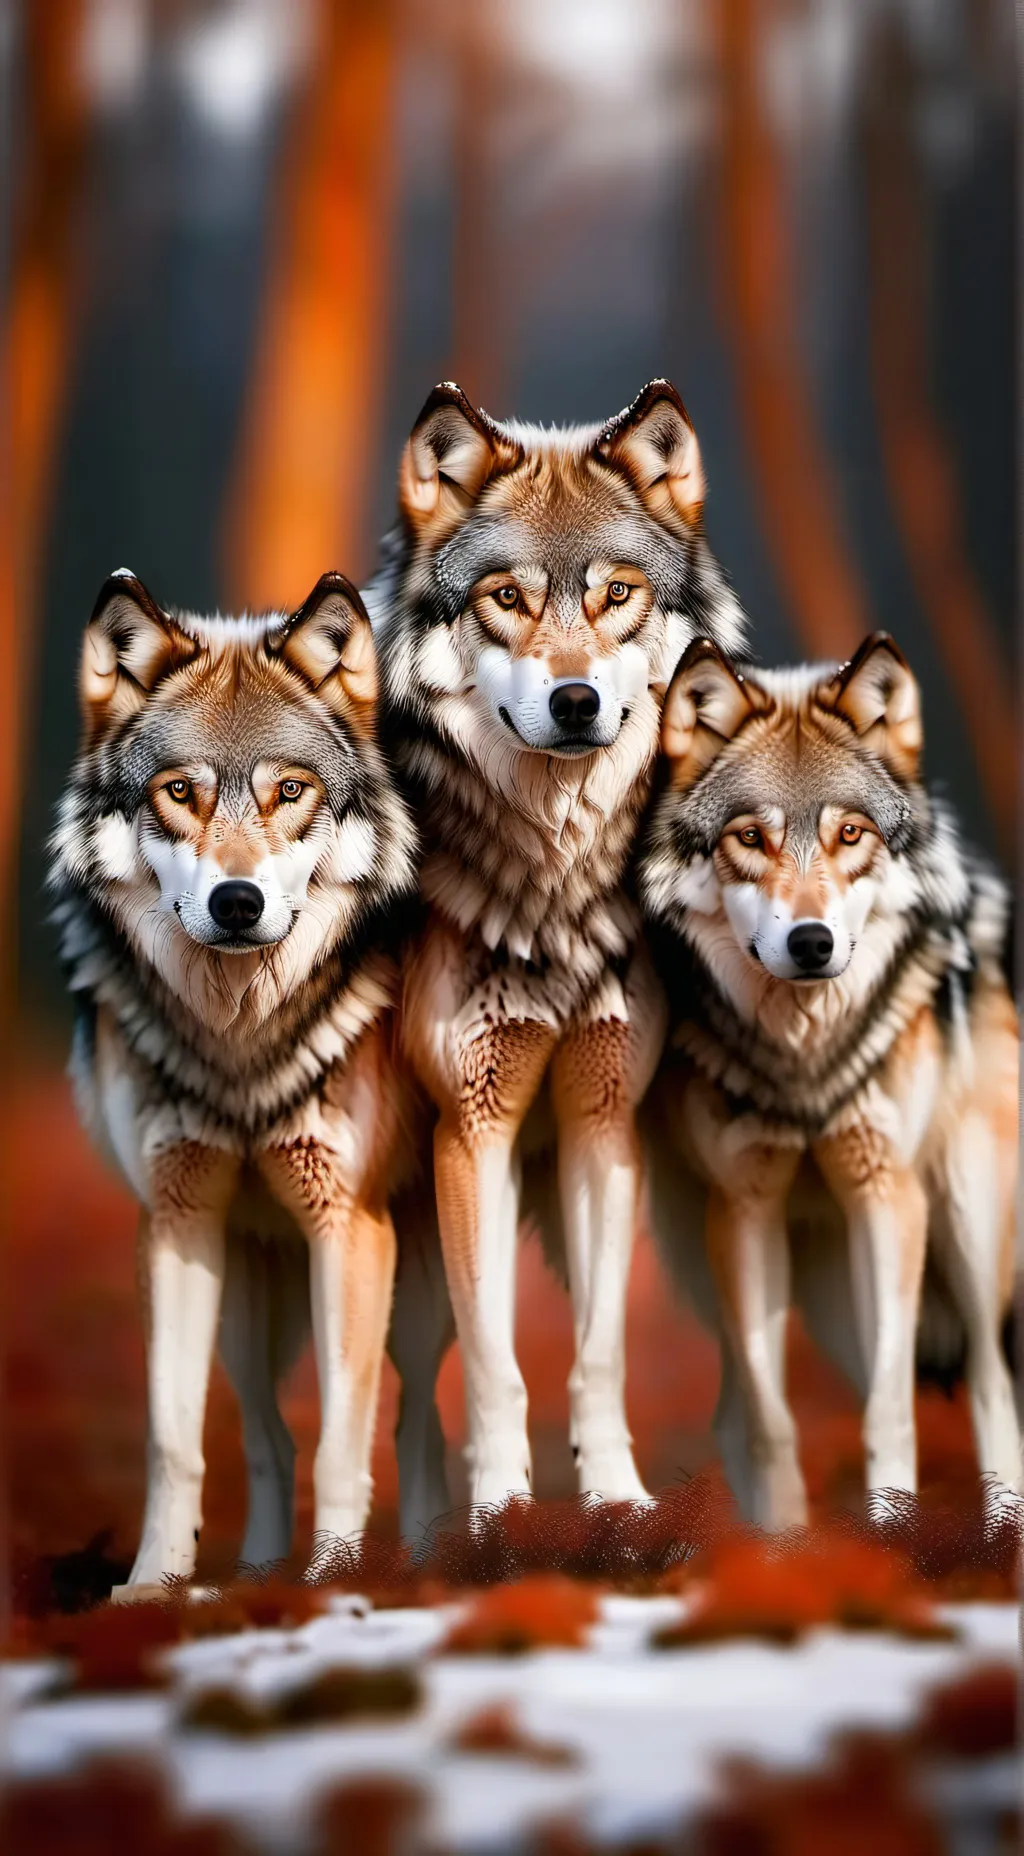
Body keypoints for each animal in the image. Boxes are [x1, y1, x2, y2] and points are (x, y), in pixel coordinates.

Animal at [51, 569, 418, 1585]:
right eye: (180, 791)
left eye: (289, 791)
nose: (238, 901)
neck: (240, 1035)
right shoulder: (176, 1223)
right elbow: (175, 1440)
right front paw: (151, 1590)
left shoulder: (349, 1228)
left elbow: (343, 1441)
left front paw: (334, 1591)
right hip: (249, 1302)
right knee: (266, 1436)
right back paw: (253, 1577)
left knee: (419, 1420)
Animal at [368, 379, 747, 1529]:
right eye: (507, 597)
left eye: (616, 593)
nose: (574, 700)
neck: (554, 876)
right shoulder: (473, 1131)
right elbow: (497, 1361)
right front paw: (500, 1514)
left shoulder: (600, 1123)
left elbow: (598, 1354)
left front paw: (617, 1501)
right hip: (404, 1262)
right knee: (407, 1398)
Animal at [637, 630, 1020, 1530]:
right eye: (751, 838)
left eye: (850, 834)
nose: (810, 942)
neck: (805, 1063)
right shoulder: (743, 1209)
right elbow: (771, 1419)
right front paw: (785, 1543)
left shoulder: (887, 1195)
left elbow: (889, 1407)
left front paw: (895, 1542)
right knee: (730, 1410)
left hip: (967, 1222)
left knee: (992, 1385)